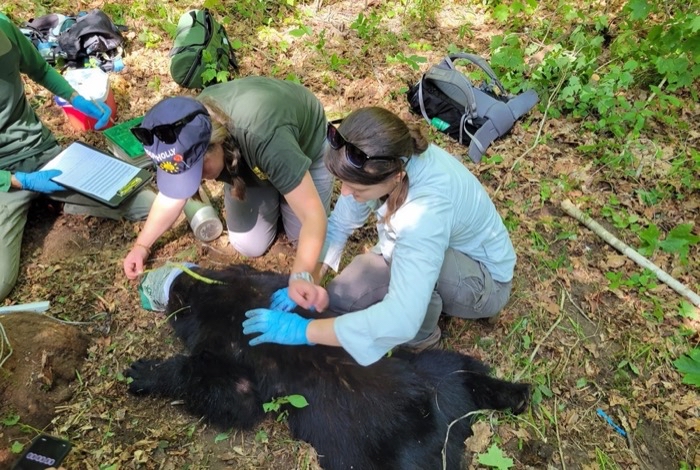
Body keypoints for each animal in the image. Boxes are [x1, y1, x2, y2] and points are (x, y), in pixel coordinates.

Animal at [125, 265, 530, 470]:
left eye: (174, 297)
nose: (174, 277)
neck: (221, 293)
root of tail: (446, 426)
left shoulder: (229, 349)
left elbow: (231, 397)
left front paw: (144, 373)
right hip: (436, 372)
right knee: (464, 369)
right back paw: (516, 394)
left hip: (373, 459)